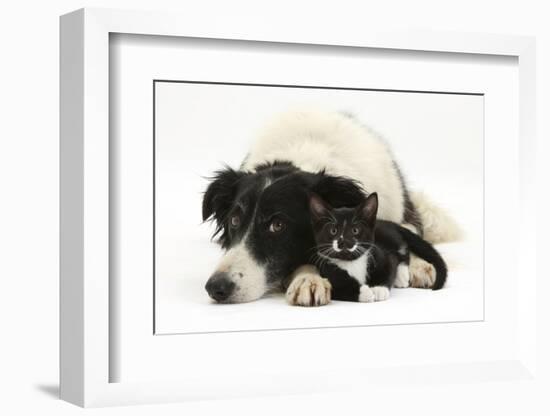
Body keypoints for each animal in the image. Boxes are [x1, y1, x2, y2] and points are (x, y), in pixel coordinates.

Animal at [310, 192, 448, 302]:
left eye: (355, 230)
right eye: (333, 231)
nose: (344, 242)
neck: (352, 262)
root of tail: (388, 222)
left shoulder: (380, 254)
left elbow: (389, 266)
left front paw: (378, 289)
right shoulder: (327, 271)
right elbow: (341, 288)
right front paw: (366, 292)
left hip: (389, 237)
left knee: (403, 249)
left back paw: (401, 276)